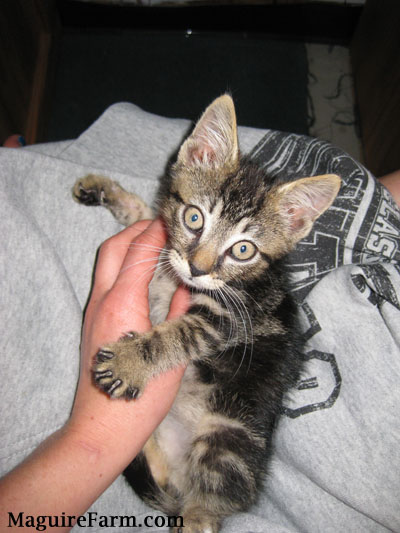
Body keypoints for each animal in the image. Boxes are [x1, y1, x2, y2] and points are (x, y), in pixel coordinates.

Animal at [72, 95, 340, 532]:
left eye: (243, 249)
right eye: (194, 217)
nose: (197, 269)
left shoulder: (231, 316)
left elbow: (176, 335)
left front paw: (130, 361)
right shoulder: (166, 253)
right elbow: (146, 220)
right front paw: (106, 190)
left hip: (229, 434)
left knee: (207, 504)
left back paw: (197, 514)